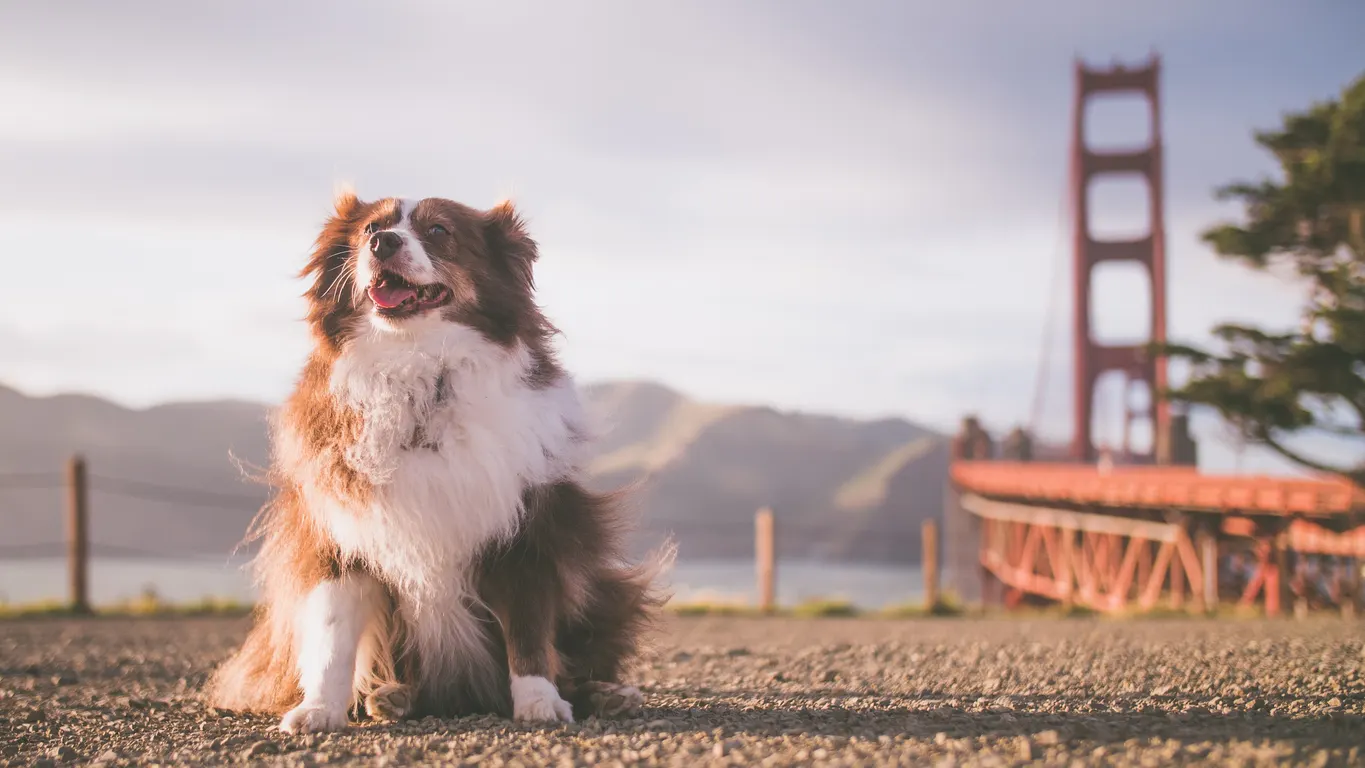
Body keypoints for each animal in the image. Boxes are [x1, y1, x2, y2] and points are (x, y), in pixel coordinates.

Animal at [204, 188, 668, 731]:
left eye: (439, 231)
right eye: (369, 229)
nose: (383, 242)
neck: (418, 368)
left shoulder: (528, 528)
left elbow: (529, 631)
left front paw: (539, 702)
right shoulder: (339, 532)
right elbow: (333, 635)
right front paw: (319, 709)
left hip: (601, 581)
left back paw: (610, 694)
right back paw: (388, 696)